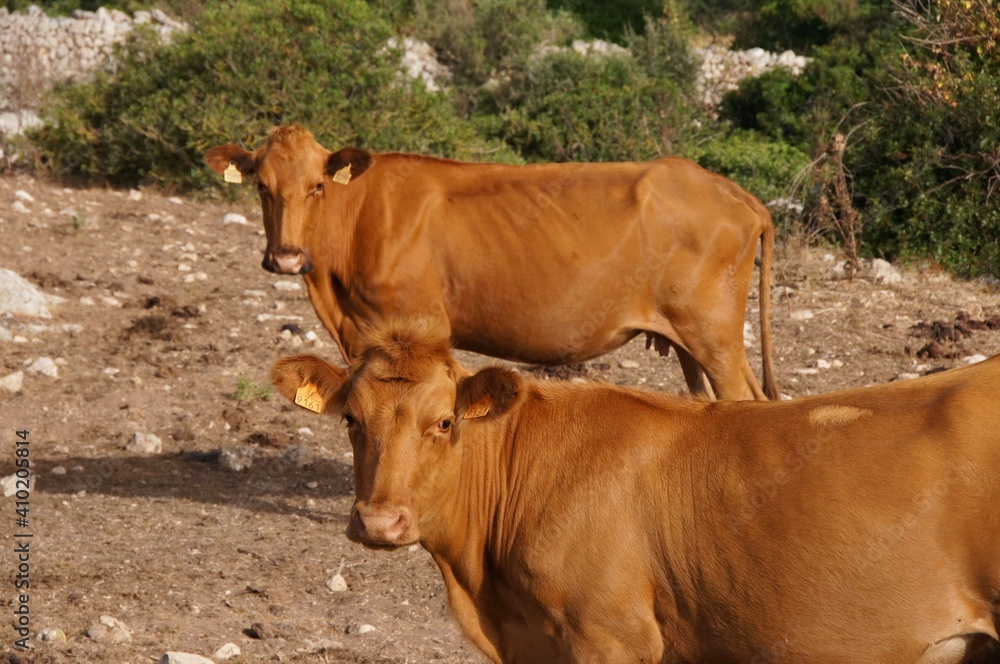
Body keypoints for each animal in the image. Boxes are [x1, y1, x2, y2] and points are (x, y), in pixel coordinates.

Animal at [205, 125, 778, 401]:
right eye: (261, 186)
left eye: (318, 186)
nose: (285, 257)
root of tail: (728, 190)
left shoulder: (417, 325)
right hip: (688, 339)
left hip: (714, 335)